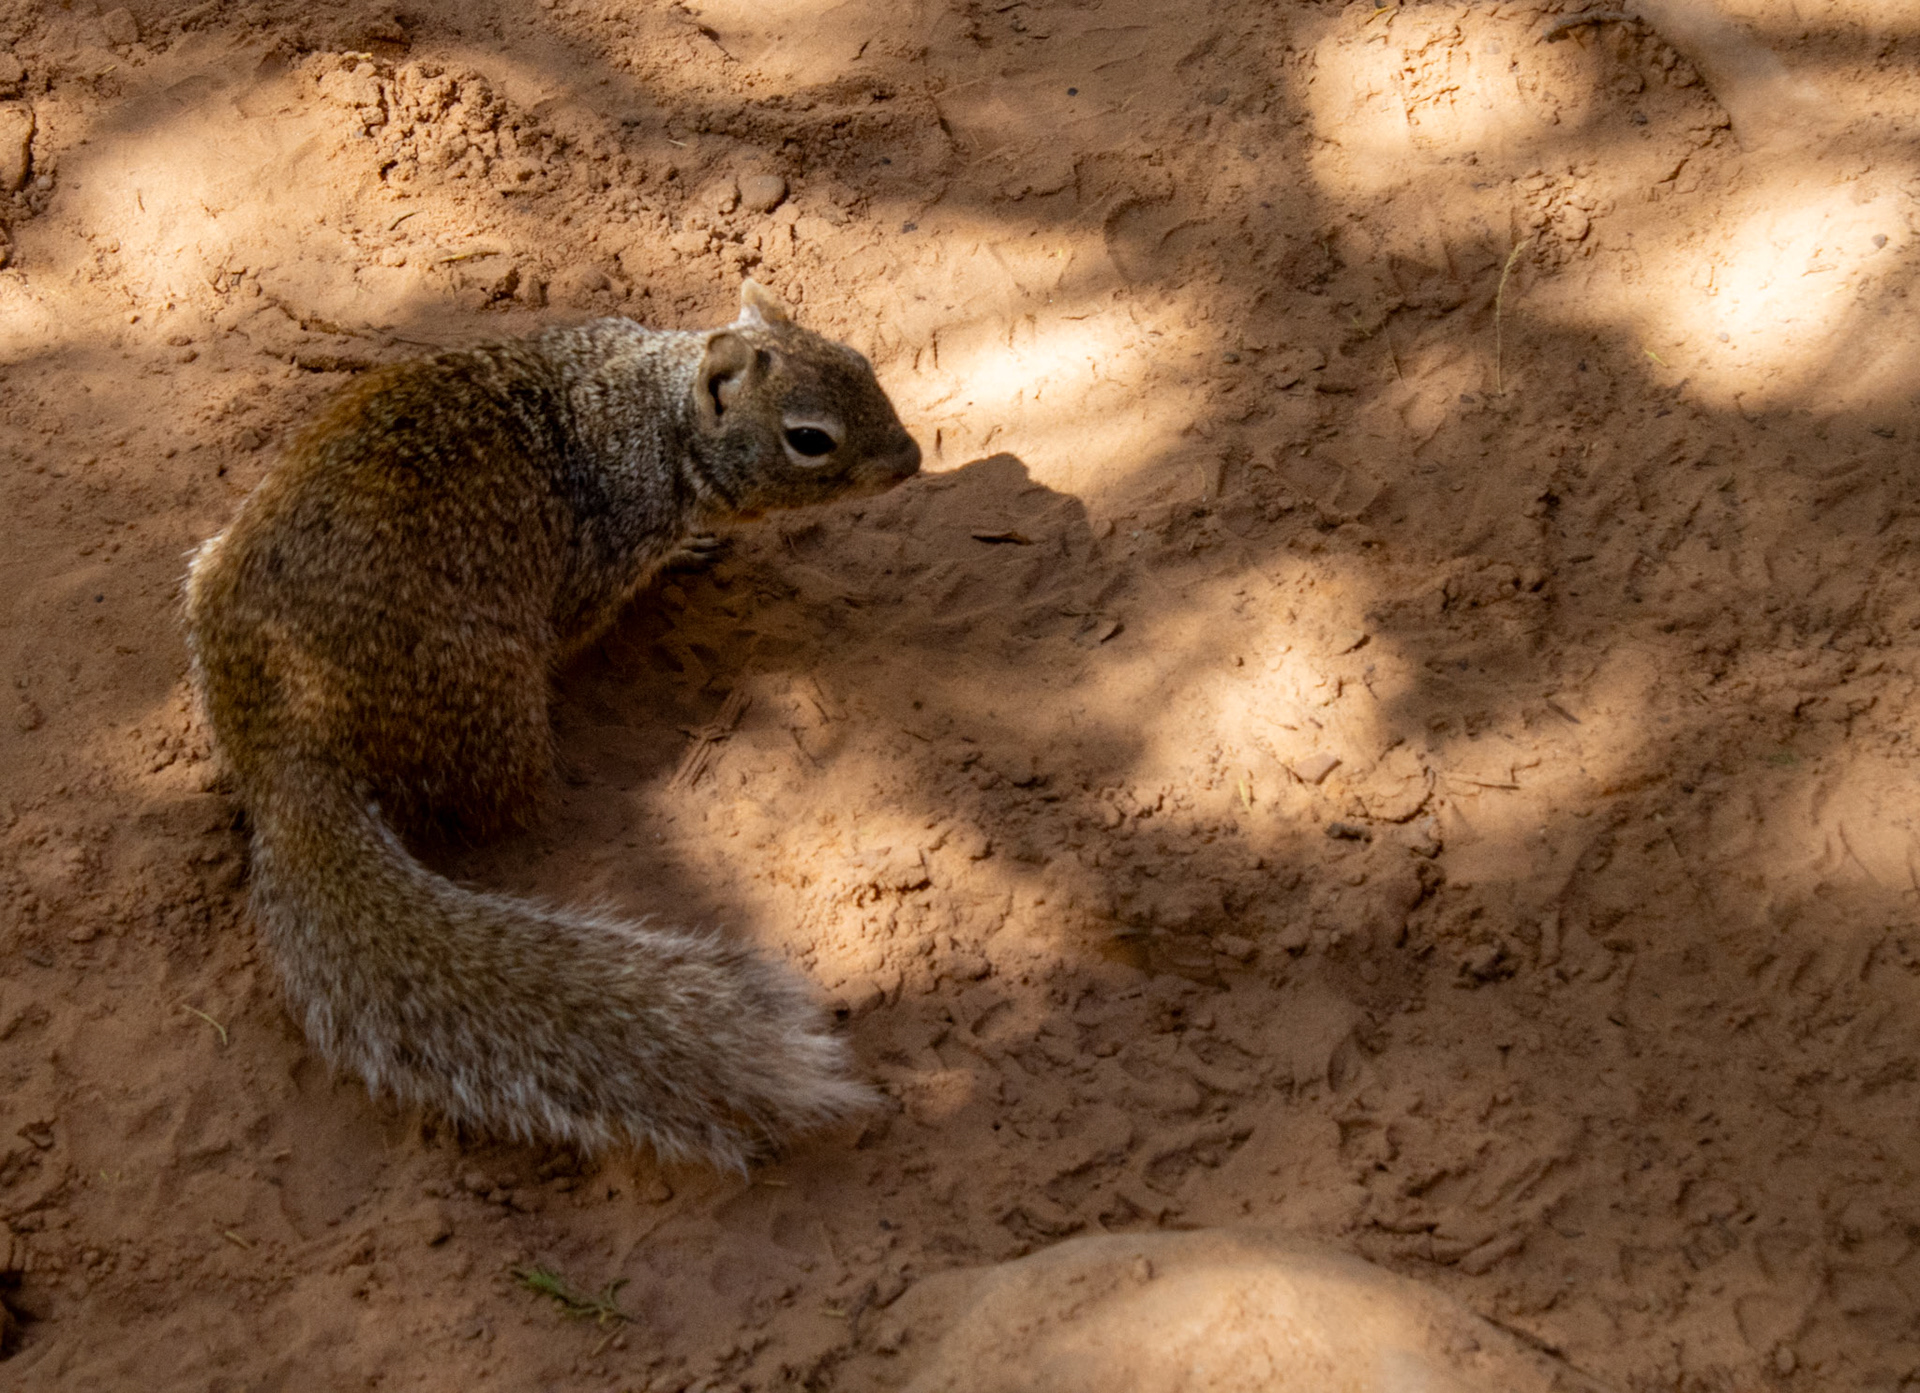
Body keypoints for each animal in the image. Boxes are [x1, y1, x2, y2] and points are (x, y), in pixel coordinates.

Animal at [183, 280, 921, 1170]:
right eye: (809, 439)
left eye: (861, 361)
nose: (913, 460)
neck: (652, 409)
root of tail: (280, 753)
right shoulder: (604, 550)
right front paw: (678, 560)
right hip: (490, 694)